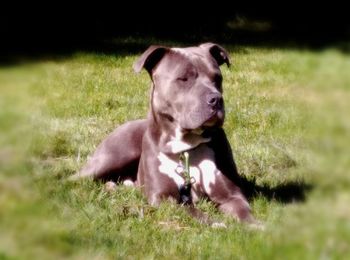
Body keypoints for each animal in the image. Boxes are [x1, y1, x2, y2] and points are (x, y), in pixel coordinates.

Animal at [71, 42, 262, 228]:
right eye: (183, 78)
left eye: (217, 78)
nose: (216, 99)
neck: (186, 146)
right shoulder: (164, 198)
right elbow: (192, 212)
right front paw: (216, 223)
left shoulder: (231, 194)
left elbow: (243, 212)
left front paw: (256, 228)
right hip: (113, 156)